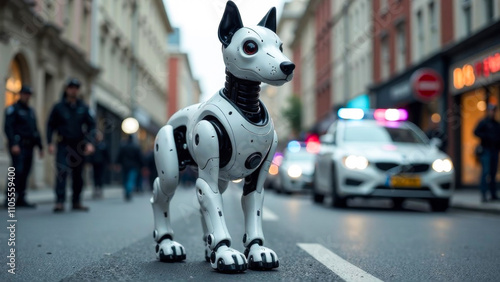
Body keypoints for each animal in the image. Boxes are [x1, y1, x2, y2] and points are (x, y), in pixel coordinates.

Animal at [151, 0, 292, 274]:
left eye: (280, 45)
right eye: (250, 46)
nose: (287, 66)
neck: (246, 105)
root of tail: (174, 118)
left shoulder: (258, 172)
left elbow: (252, 199)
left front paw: (256, 250)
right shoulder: (207, 137)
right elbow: (210, 197)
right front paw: (226, 253)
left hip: (221, 176)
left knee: (207, 198)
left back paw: (208, 249)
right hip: (169, 158)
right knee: (162, 191)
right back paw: (167, 245)